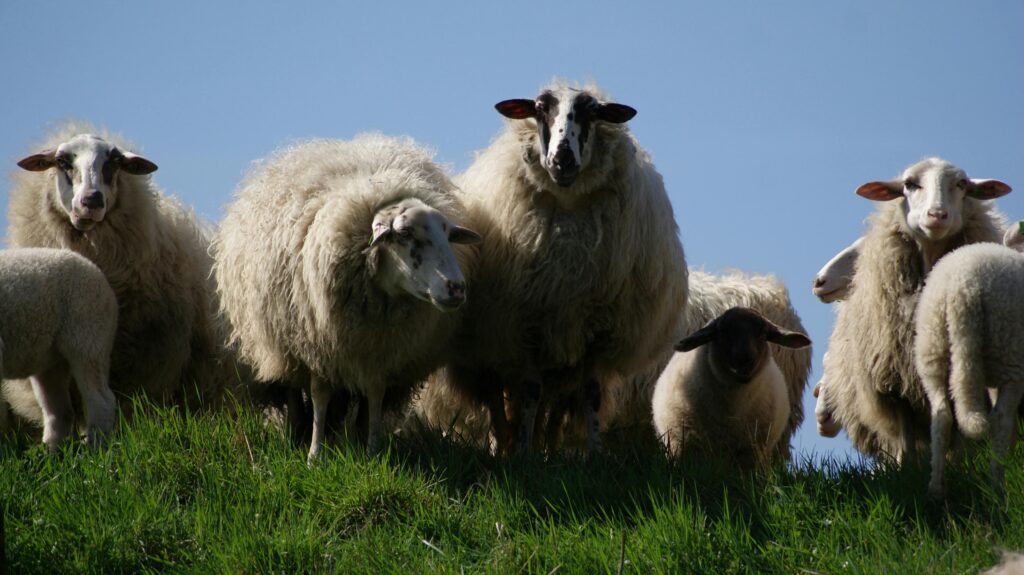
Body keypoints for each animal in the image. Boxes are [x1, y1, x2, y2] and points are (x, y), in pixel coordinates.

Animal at [0, 248, 117, 449]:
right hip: (48, 358)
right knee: (59, 410)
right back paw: (52, 451)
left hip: (88, 335)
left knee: (101, 399)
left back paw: (96, 446)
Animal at [212, 134, 480, 459]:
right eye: (404, 234)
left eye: (448, 235)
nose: (456, 288)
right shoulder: (320, 344)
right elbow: (319, 394)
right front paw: (315, 454)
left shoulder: (381, 350)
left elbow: (374, 393)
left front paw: (372, 450)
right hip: (281, 342)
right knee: (292, 390)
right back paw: (295, 433)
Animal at [421, 80, 688, 455]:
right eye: (539, 109)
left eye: (593, 112)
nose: (563, 159)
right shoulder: (526, 325)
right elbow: (529, 392)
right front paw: (523, 453)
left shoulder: (596, 329)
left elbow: (589, 394)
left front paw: (594, 453)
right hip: (491, 349)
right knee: (499, 402)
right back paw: (503, 448)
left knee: (554, 407)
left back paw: (547, 448)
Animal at [821, 157, 1010, 463]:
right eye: (909, 184)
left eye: (962, 184)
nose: (937, 215)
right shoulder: (893, 384)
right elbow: (905, 443)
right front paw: (906, 468)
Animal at [915, 239, 1024, 498]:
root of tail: (963, 288)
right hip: (1010, 354)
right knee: (1000, 420)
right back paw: (997, 486)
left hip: (933, 351)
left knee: (942, 416)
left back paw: (936, 489)